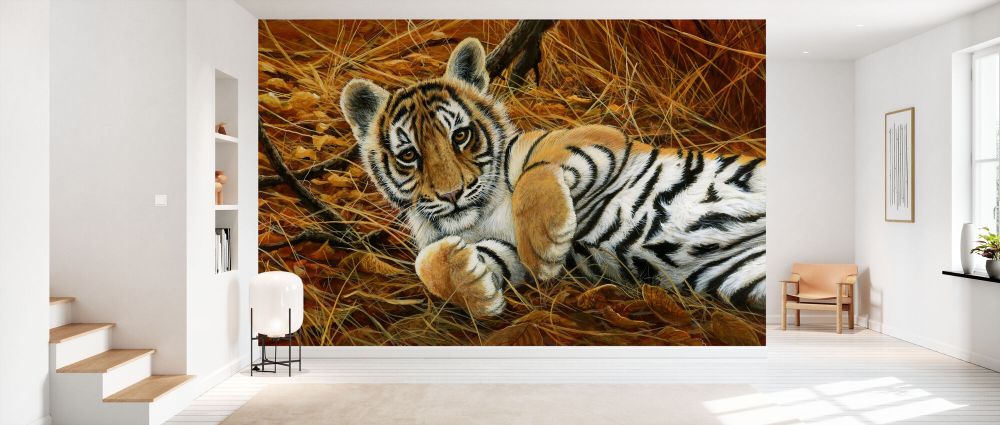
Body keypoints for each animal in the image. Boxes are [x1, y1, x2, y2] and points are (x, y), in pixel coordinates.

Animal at [340, 37, 766, 318]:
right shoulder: (500, 249)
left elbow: (534, 175)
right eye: (409, 156)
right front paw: (477, 291)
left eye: (460, 135)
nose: (453, 194)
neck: (480, 212)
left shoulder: (595, 137)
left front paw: (545, 249)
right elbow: (426, 263)